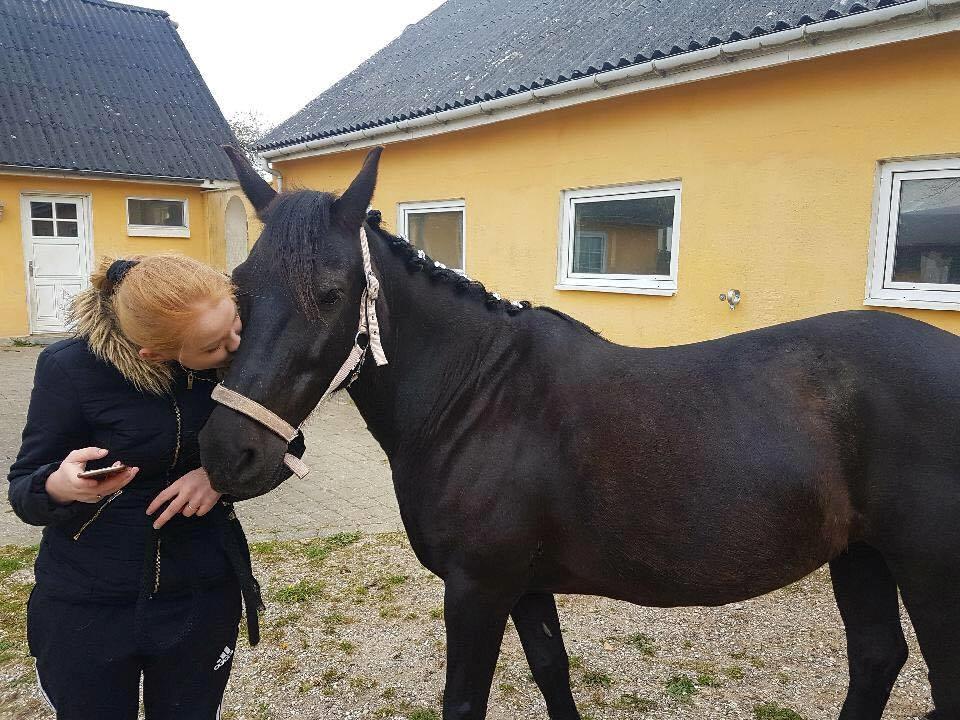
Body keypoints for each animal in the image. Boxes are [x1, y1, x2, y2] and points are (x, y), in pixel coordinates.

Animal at [200, 146, 960, 720]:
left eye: (331, 292)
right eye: (239, 283)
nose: (229, 451)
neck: (478, 397)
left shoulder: (477, 588)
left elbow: (465, 701)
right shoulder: (524, 586)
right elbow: (552, 673)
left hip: (927, 571)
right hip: (860, 553)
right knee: (876, 657)